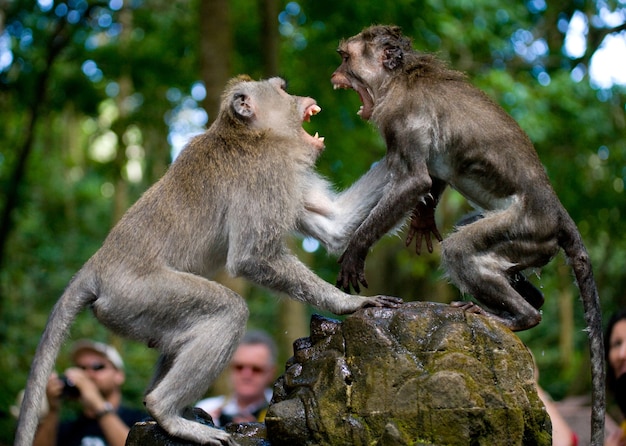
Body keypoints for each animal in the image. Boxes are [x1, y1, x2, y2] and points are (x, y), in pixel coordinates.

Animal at [17, 76, 402, 446]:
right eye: (282, 89)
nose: (302, 97)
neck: (250, 134)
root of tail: (96, 266)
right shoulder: (266, 173)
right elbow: (252, 258)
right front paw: (348, 303)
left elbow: (336, 225)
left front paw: (403, 150)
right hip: (136, 296)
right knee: (227, 310)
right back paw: (166, 411)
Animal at [330, 25, 604, 446]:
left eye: (346, 58)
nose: (334, 74)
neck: (400, 78)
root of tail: (557, 213)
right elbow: (430, 178)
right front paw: (423, 220)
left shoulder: (402, 116)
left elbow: (414, 180)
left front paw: (355, 250)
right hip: (533, 242)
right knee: (477, 244)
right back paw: (526, 298)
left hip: (527, 226)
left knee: (461, 248)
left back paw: (521, 316)